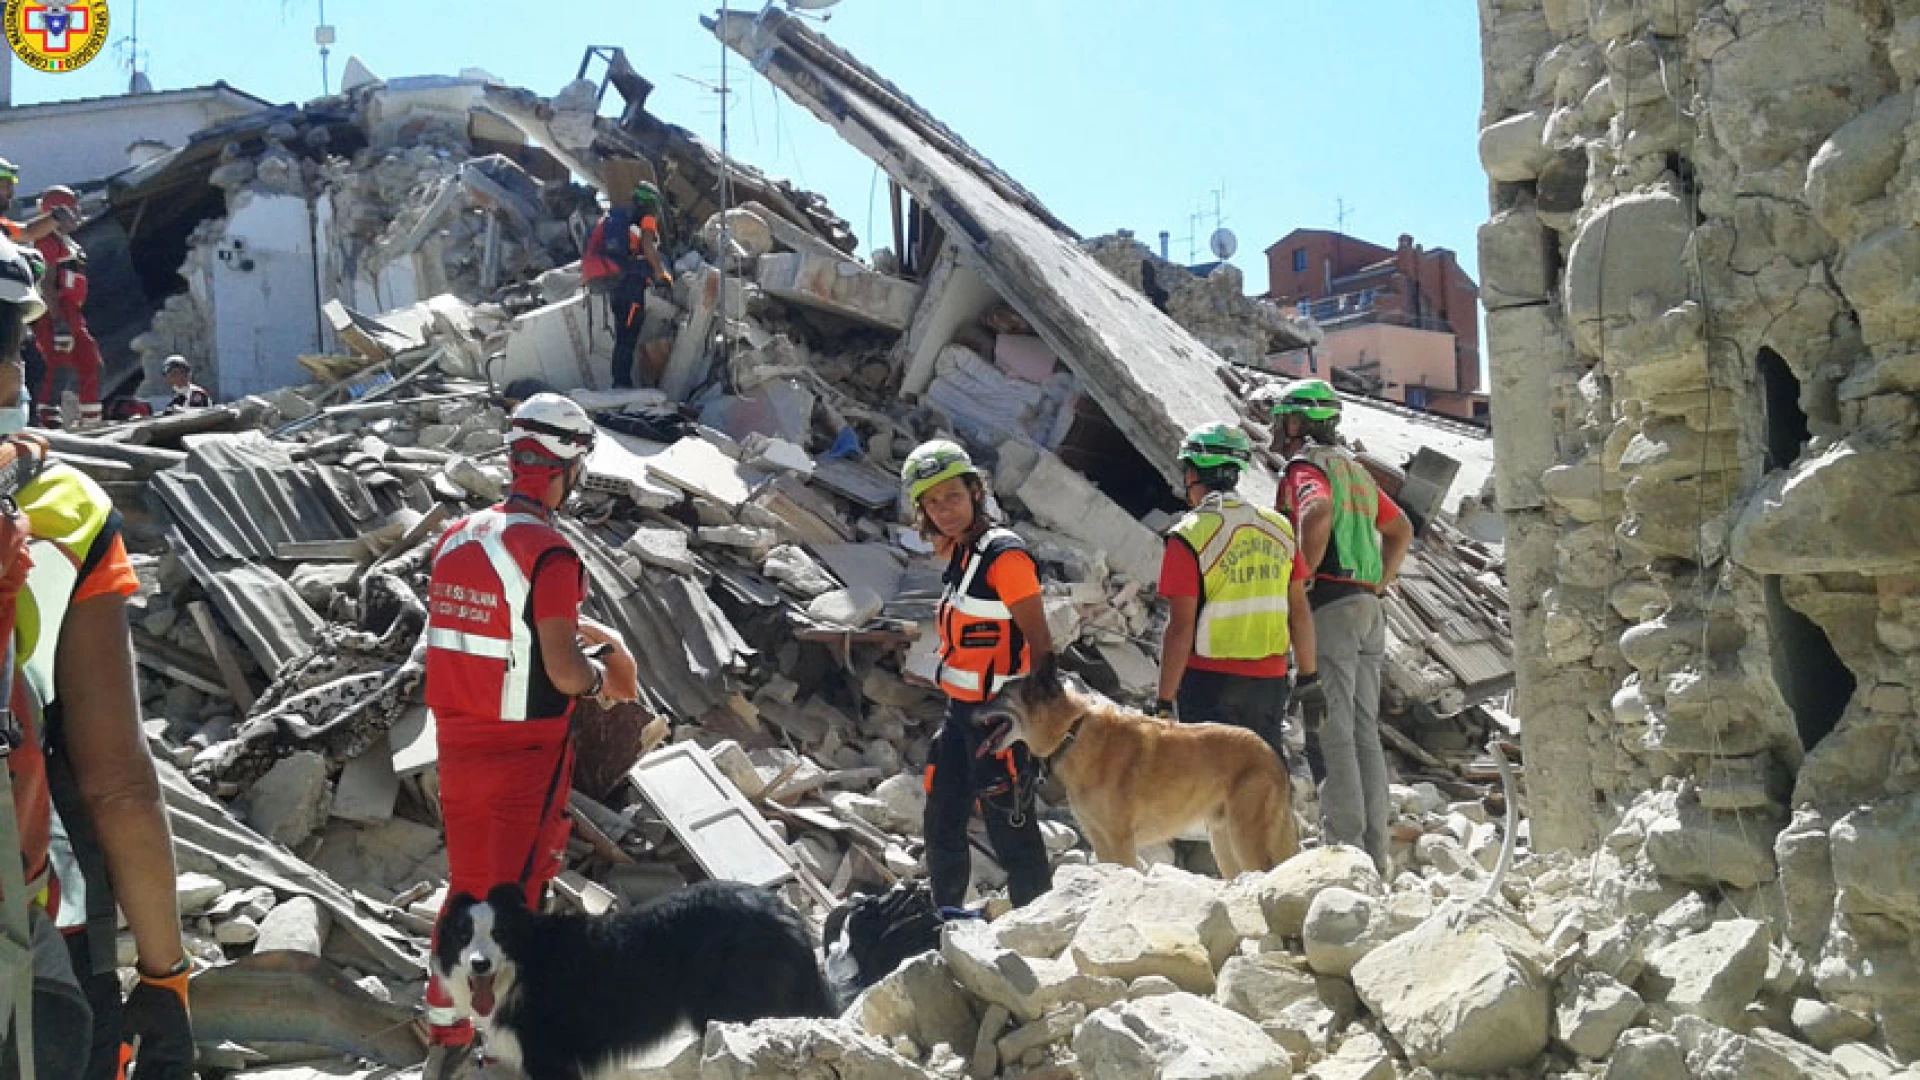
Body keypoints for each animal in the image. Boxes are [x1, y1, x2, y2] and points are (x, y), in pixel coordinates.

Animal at [437, 876, 840, 1076]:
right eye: (463, 934)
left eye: (500, 934)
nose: (479, 964)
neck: (524, 968)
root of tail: (787, 915)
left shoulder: (551, 1058)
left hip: (735, 1008)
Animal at [983, 664, 1297, 876]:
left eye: (1002, 694)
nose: (973, 709)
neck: (1073, 731)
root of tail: (1271, 754)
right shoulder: (1100, 841)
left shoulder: (1120, 841)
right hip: (1223, 843)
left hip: (1245, 839)